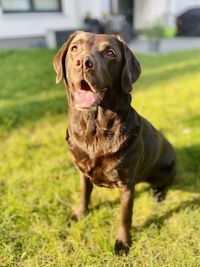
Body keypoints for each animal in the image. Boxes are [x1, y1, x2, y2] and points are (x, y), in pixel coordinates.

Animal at [53, 32, 175, 256]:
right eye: (74, 48)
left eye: (110, 53)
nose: (83, 62)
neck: (94, 129)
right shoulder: (82, 172)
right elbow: (84, 195)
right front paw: (79, 214)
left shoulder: (126, 185)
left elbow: (125, 217)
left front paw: (123, 243)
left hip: (165, 169)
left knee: (163, 184)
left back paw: (158, 195)